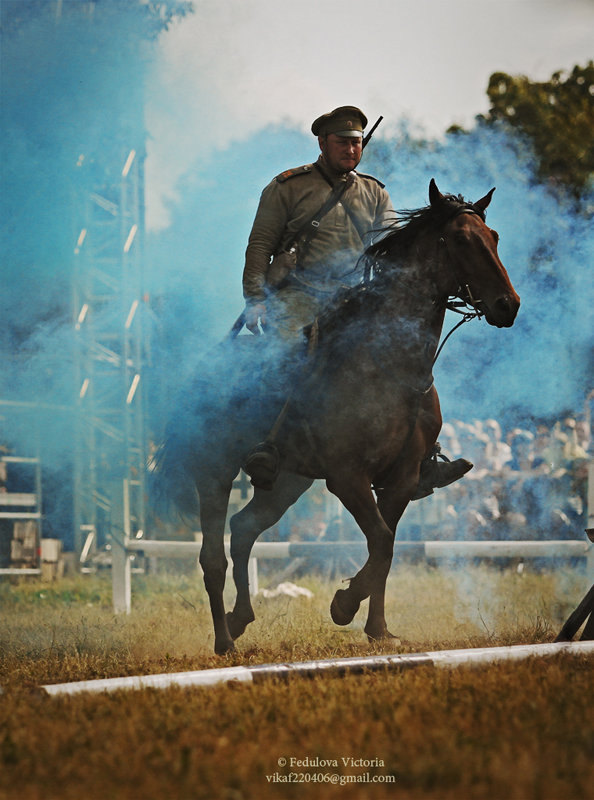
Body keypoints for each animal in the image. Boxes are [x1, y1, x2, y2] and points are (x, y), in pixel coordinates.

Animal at [153, 178, 520, 652]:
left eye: (493, 237)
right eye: (459, 239)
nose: (508, 305)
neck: (389, 363)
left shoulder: (401, 481)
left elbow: (386, 548)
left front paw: (379, 630)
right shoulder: (347, 477)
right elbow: (380, 542)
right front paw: (344, 605)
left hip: (287, 481)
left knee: (244, 528)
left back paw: (240, 617)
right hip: (214, 472)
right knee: (213, 555)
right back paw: (224, 641)